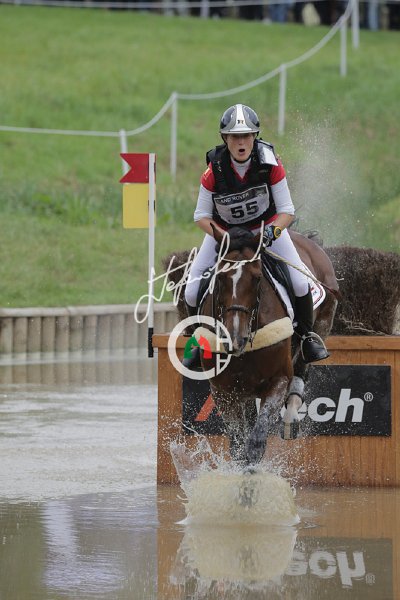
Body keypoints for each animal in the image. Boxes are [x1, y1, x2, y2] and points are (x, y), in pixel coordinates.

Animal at [192, 226, 339, 466]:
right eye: (220, 277)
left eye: (257, 278)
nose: (235, 337)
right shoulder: (223, 390)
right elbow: (238, 444)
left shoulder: (278, 380)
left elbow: (256, 441)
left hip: (322, 323)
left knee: (303, 367)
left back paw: (290, 417)